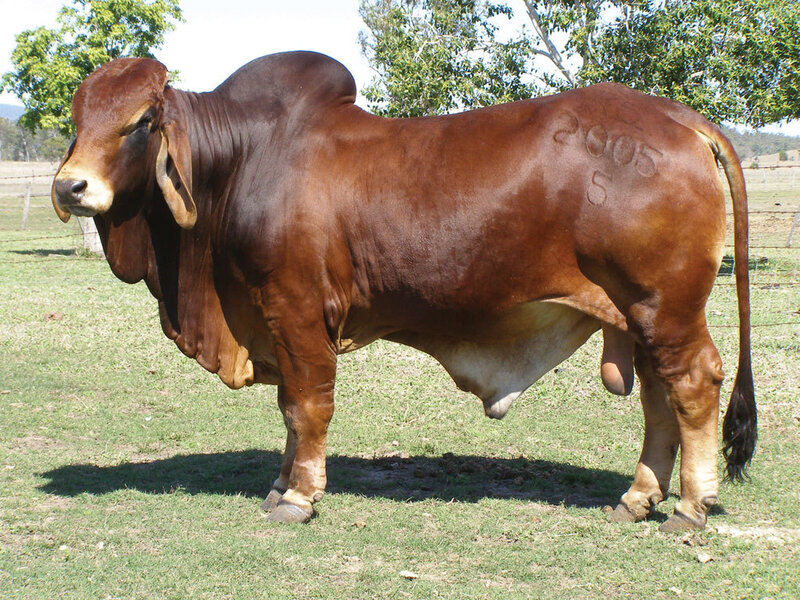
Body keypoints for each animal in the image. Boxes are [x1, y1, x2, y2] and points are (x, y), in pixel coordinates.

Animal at [52, 51, 756, 531]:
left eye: (142, 120)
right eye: (77, 118)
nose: (70, 187)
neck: (239, 162)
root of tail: (680, 117)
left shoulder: (296, 310)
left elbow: (307, 405)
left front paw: (300, 495)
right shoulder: (274, 322)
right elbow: (287, 406)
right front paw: (281, 484)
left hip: (664, 306)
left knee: (693, 385)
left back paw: (691, 506)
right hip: (639, 315)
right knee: (661, 398)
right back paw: (638, 498)